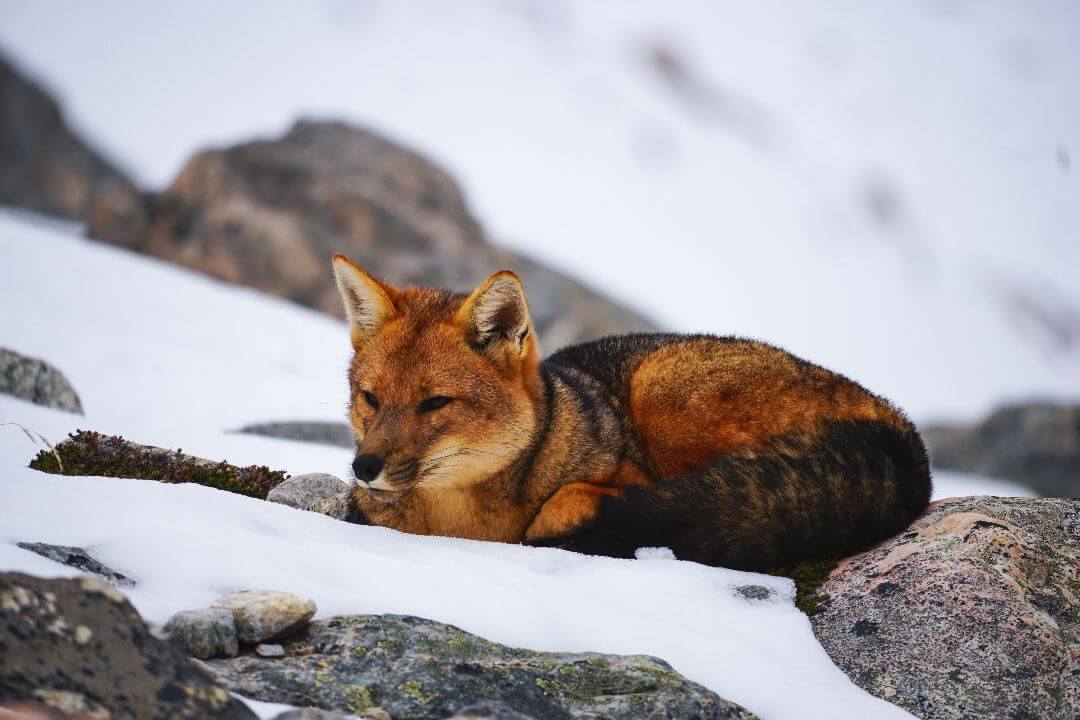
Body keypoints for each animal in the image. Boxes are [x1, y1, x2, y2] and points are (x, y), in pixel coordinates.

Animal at [332, 255, 933, 569]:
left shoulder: (618, 478)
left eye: (435, 402)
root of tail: (901, 428)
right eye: (371, 398)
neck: (462, 527)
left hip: (661, 389)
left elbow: (569, 500)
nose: (364, 467)